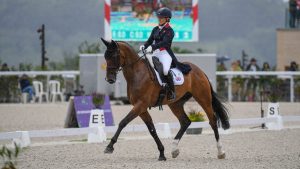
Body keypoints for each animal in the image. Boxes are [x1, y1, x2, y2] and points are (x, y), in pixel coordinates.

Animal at [101, 38, 230, 161]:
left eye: (114, 56)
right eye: (105, 57)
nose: (110, 79)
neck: (137, 73)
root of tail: (199, 70)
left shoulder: (140, 105)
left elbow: (123, 122)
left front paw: (109, 146)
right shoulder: (141, 108)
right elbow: (152, 129)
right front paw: (162, 153)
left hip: (203, 98)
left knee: (212, 120)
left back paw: (221, 152)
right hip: (175, 103)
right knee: (185, 122)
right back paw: (174, 150)